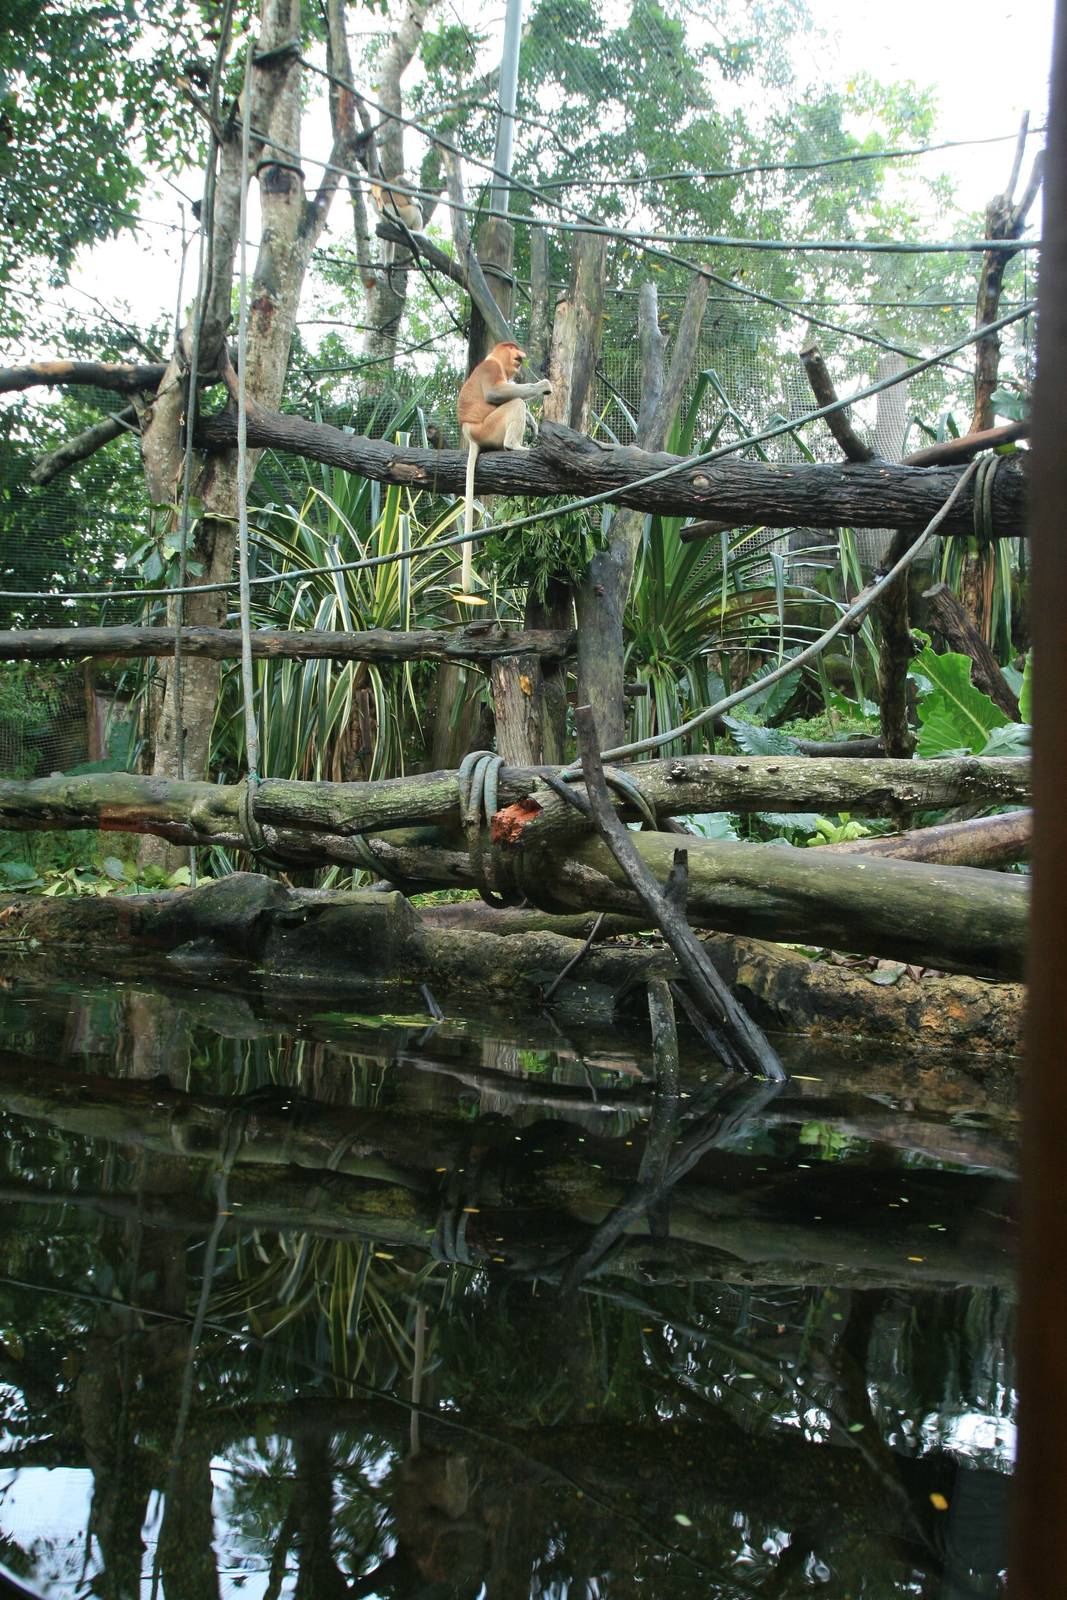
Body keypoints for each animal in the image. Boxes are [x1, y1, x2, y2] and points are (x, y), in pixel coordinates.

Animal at [455, 341, 553, 597]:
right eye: (514, 351)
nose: (521, 358)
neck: (494, 358)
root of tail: (471, 435)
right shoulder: (491, 369)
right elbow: (495, 393)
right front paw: (542, 386)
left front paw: (532, 422)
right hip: (489, 428)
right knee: (514, 403)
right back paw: (515, 446)